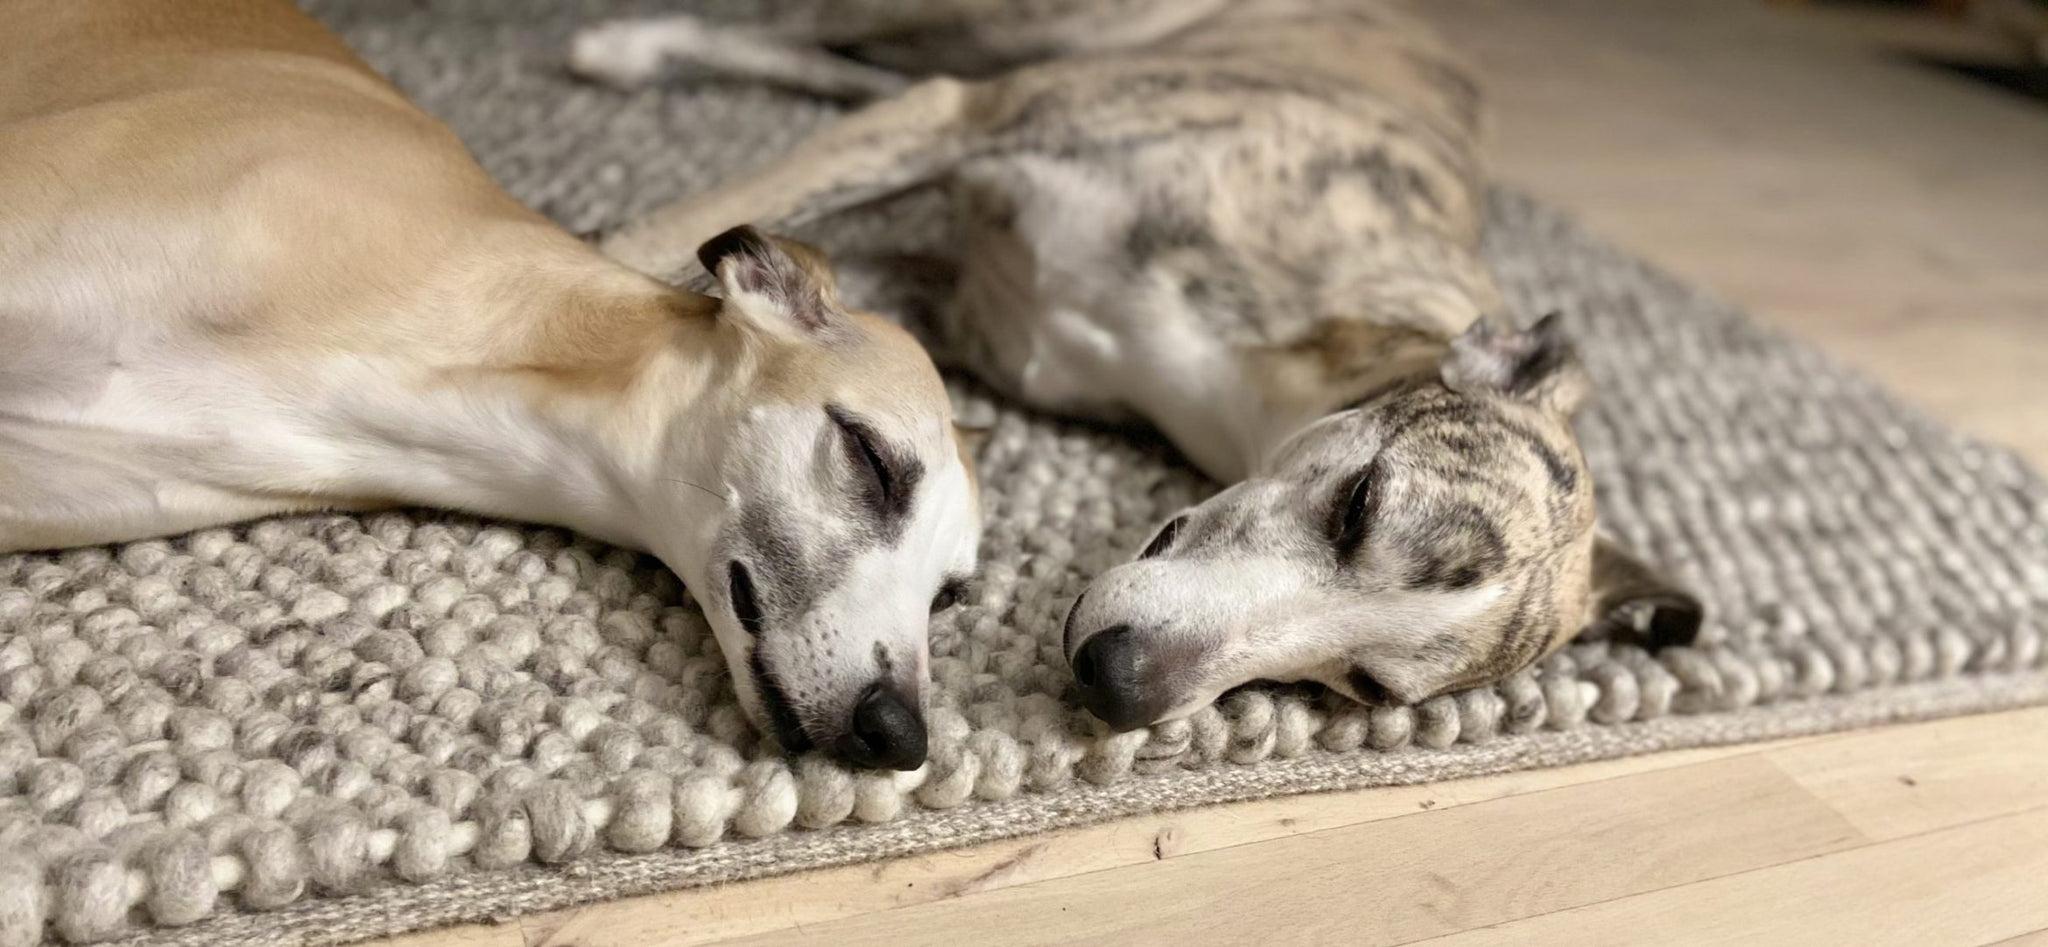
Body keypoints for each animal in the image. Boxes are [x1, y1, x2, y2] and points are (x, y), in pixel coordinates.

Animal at [569, 0, 1703, 733]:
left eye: (1365, 686)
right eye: (1360, 505)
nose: (1115, 685)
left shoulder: (965, 306)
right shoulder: (965, 125)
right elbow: (652, 246)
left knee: (849, 67)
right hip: (1022, 23)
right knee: (820, 33)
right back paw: (630, 42)